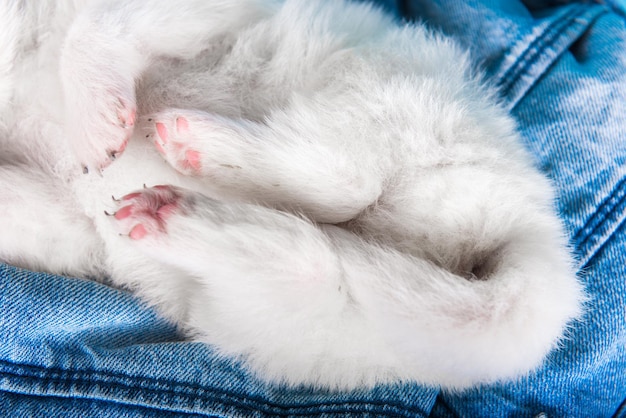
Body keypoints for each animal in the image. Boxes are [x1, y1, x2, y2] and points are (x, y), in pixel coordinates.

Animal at [0, 0, 584, 390]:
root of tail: (531, 225)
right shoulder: (67, 219)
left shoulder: (193, 9)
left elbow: (99, 23)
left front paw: (94, 118)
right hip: (290, 316)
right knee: (312, 254)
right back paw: (174, 213)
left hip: (375, 89)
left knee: (347, 181)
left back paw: (207, 146)